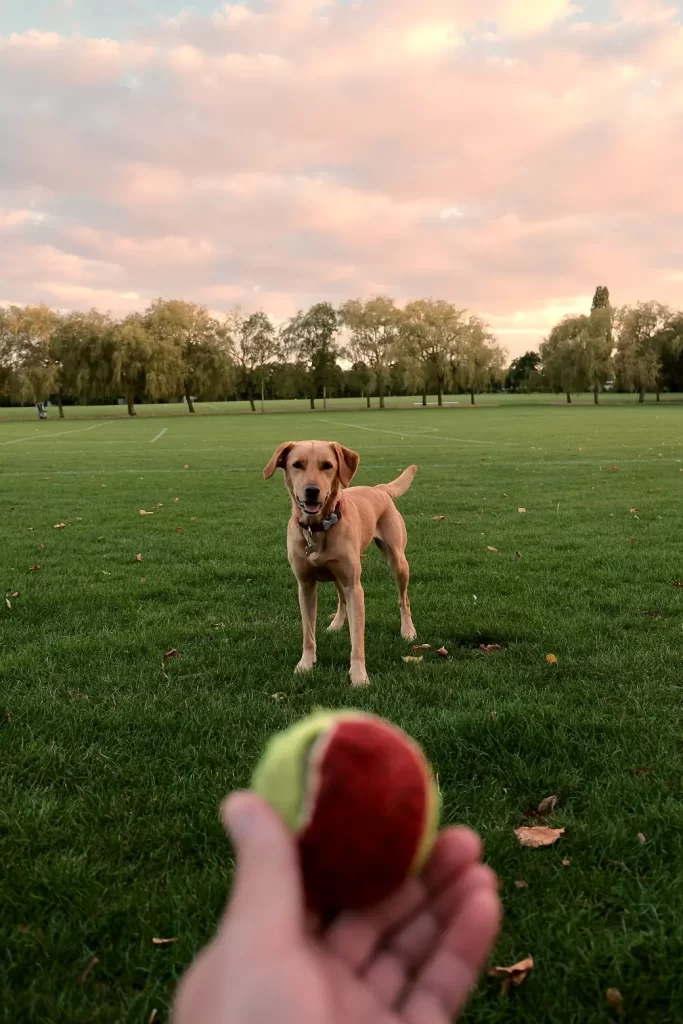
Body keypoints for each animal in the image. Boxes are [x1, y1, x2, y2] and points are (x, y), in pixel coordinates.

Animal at [264, 436, 417, 684]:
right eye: (297, 464)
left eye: (327, 465)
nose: (312, 490)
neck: (317, 528)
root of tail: (379, 489)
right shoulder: (305, 585)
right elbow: (308, 633)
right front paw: (305, 665)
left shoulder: (354, 586)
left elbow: (357, 639)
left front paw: (359, 676)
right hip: (335, 573)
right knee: (341, 599)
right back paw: (336, 624)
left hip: (398, 562)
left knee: (404, 598)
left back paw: (408, 630)